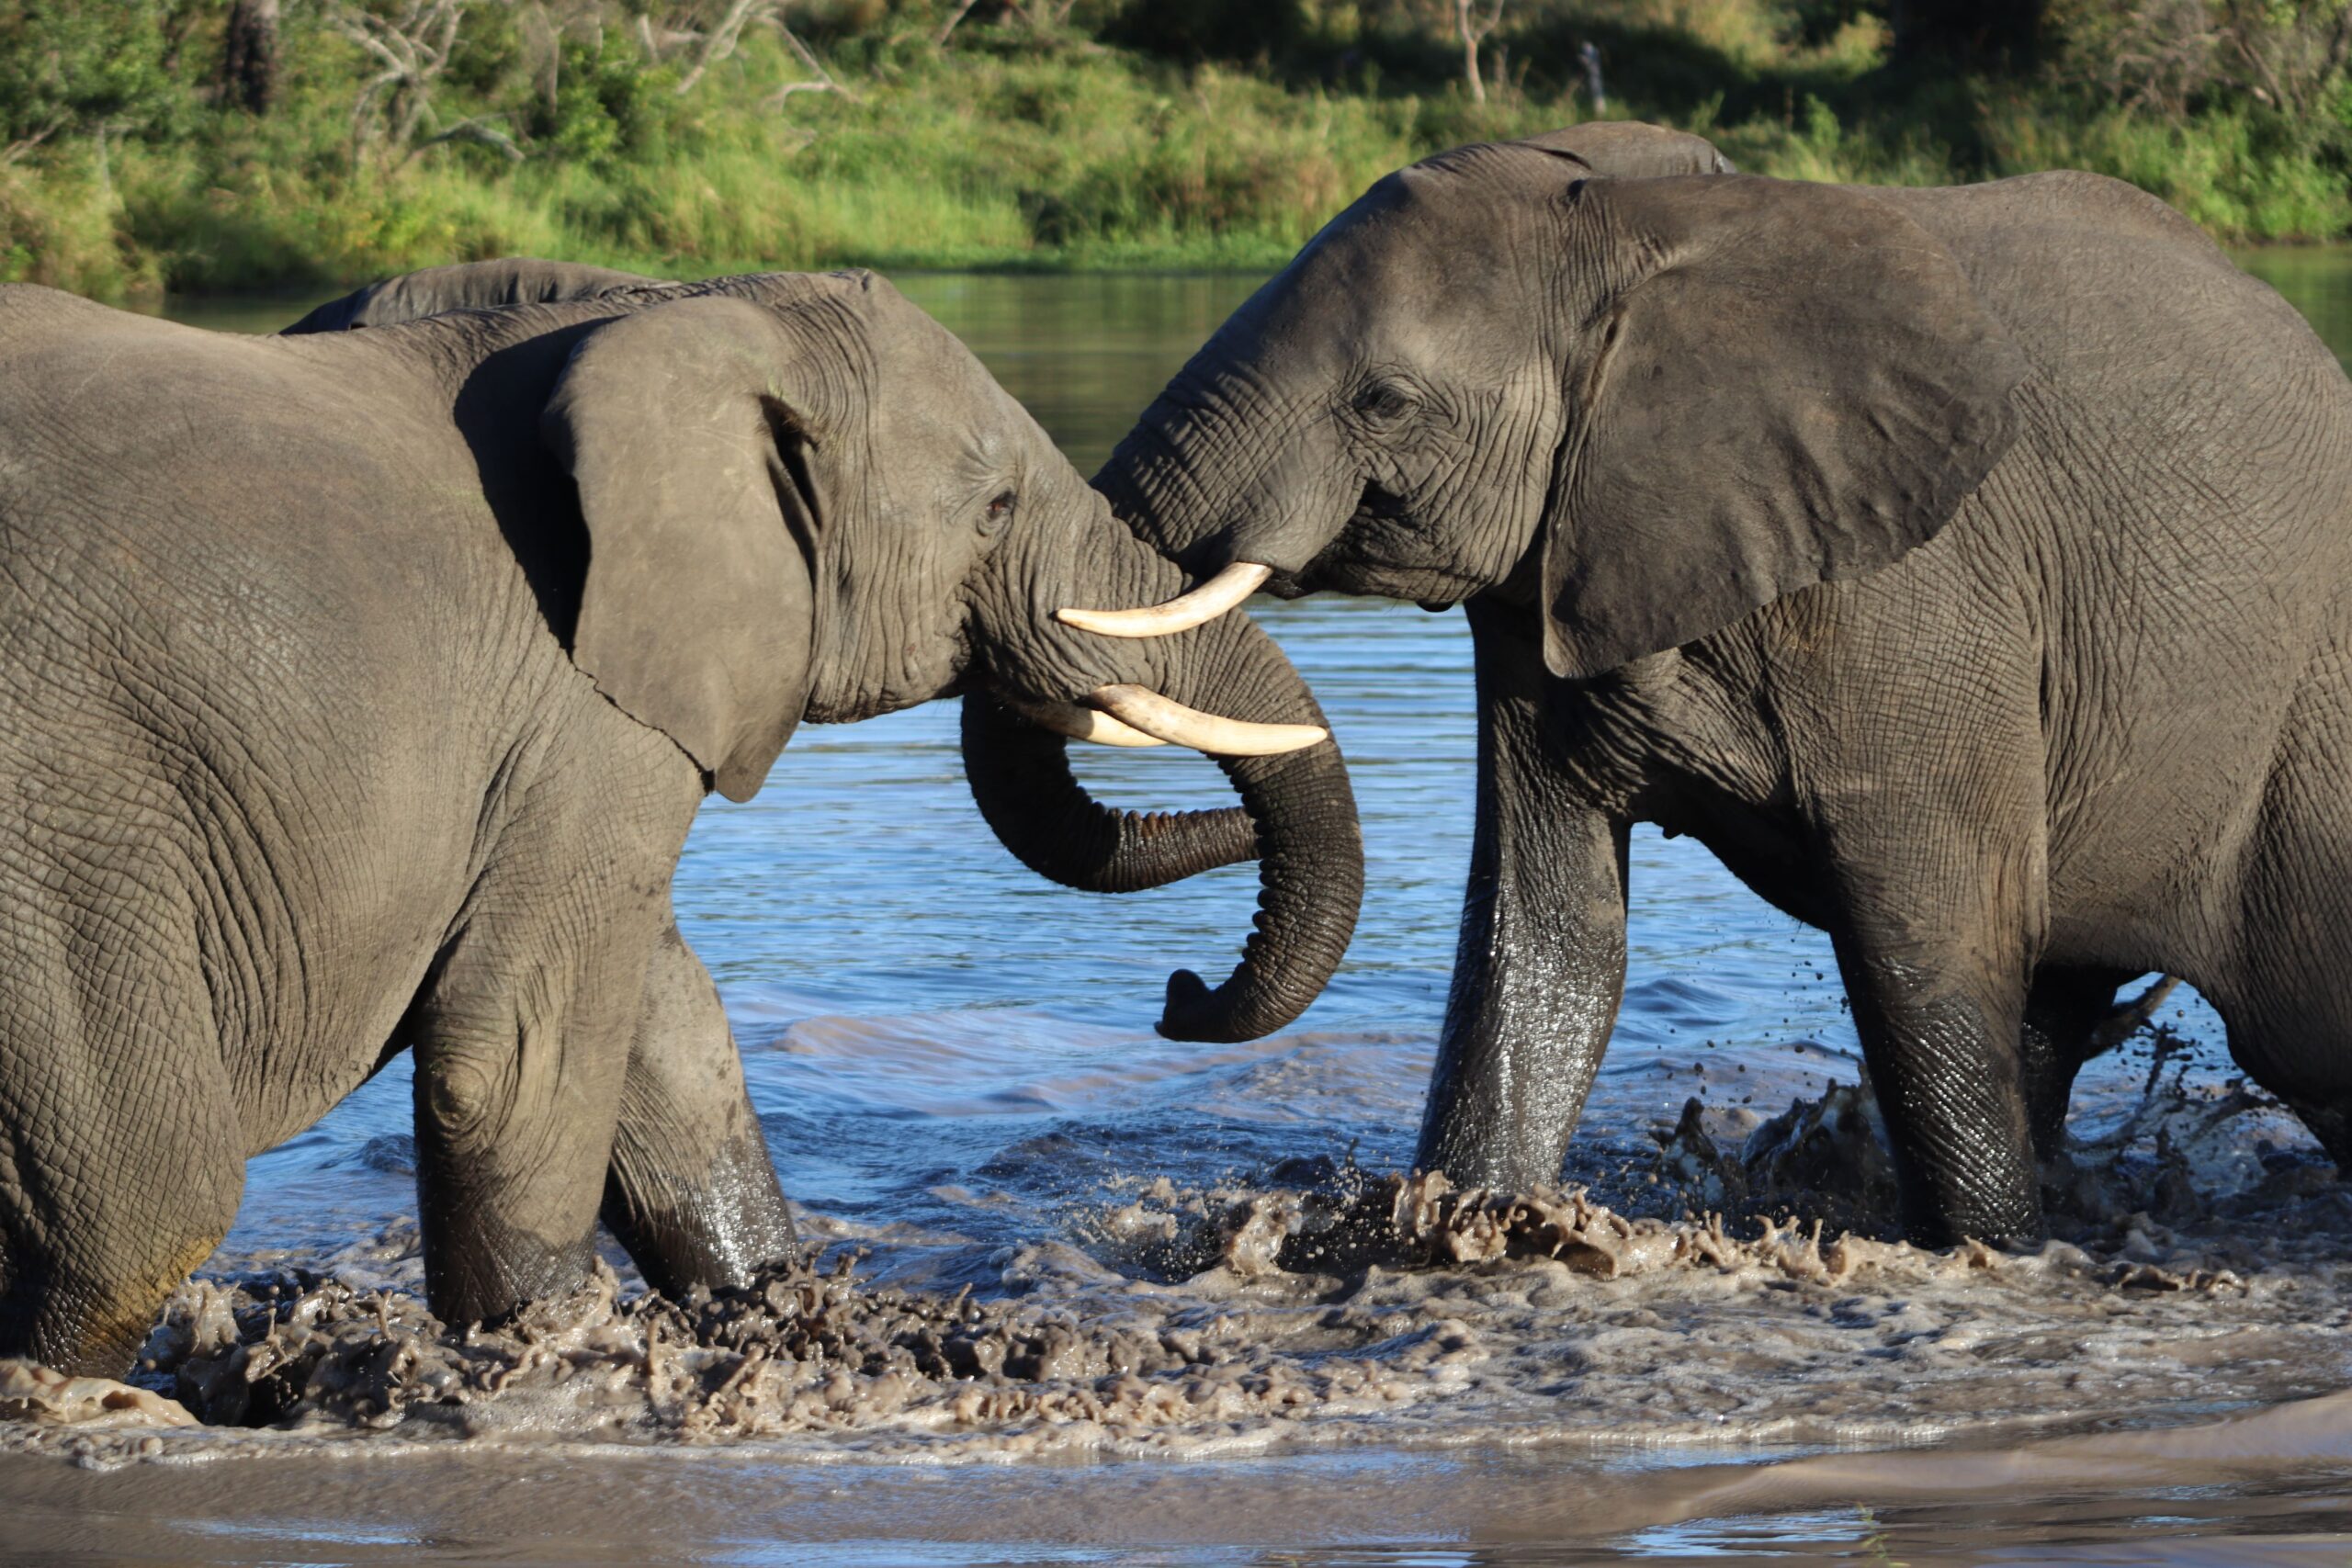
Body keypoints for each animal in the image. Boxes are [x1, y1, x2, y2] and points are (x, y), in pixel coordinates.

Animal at [0, 262, 1361, 1376]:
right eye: (994, 511)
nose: (1180, 994)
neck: (668, 319)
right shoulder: (578, 708)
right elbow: (515, 1054)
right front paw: (544, 1347)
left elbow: (670, 1034)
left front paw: (770, 1307)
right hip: (67, 800)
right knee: (149, 1206)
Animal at [1076, 119, 2352, 1246]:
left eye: (1383, 402)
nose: (1178, 993)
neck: (1650, 231)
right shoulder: (1559, 564)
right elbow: (1545, 935)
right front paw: (1457, 1228)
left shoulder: (1921, 590)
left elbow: (1927, 944)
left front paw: (1991, 1254)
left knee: (2300, 1025)